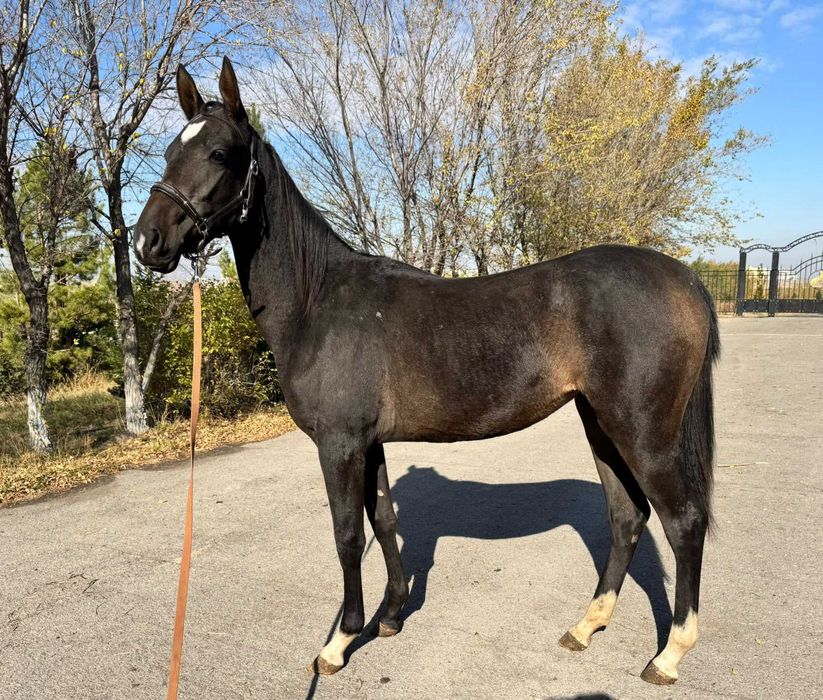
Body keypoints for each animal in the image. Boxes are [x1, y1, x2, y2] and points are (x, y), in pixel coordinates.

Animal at [134, 57, 719, 686]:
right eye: (169, 149)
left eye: (220, 153)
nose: (148, 241)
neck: (319, 300)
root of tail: (684, 279)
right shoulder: (369, 444)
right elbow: (386, 520)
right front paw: (391, 615)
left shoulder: (340, 444)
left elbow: (348, 535)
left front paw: (340, 641)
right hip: (601, 424)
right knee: (626, 516)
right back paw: (586, 626)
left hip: (644, 433)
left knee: (683, 522)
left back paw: (669, 654)